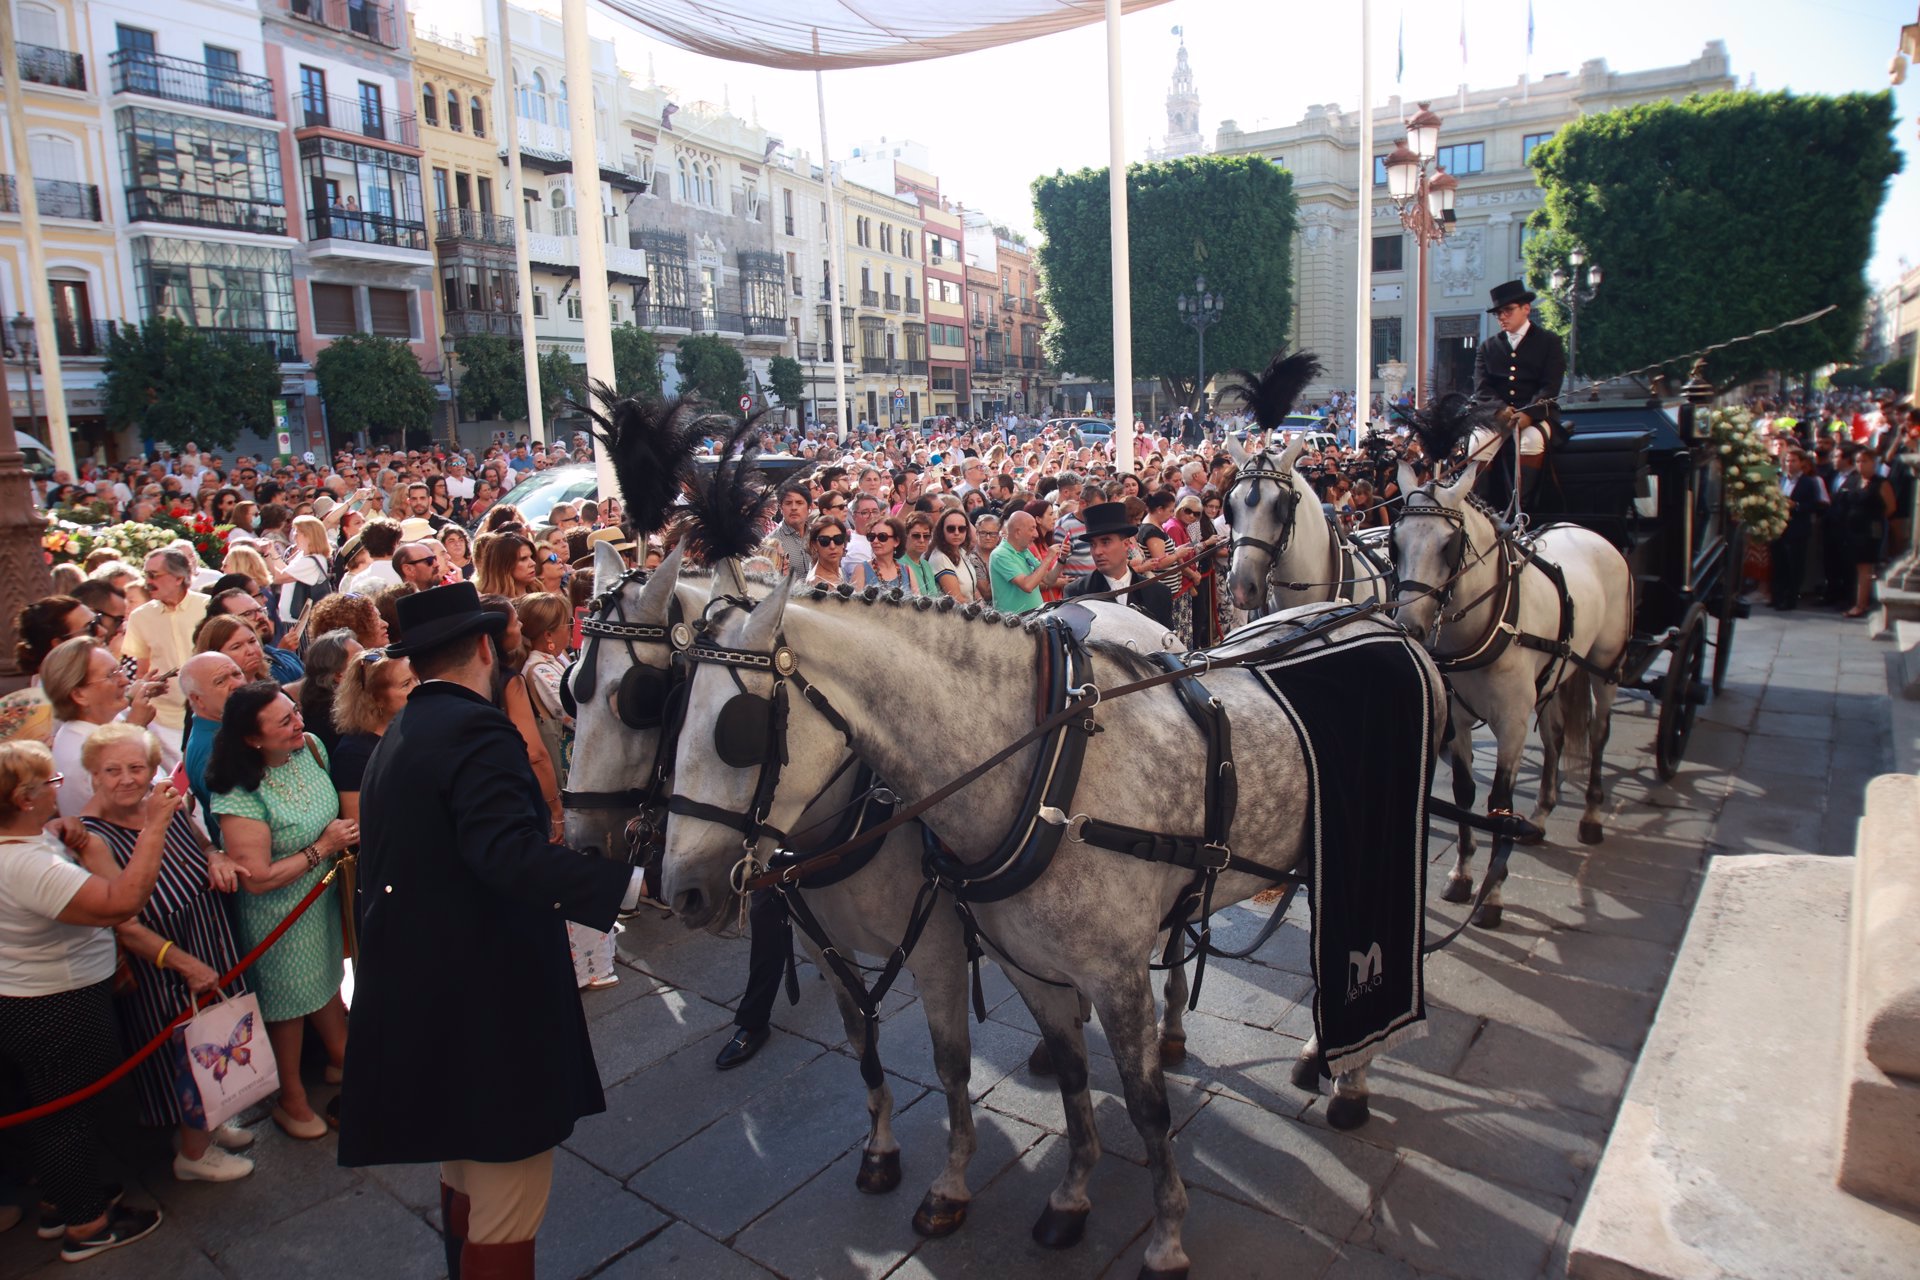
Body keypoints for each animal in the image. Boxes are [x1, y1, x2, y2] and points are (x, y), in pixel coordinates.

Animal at [1390, 466, 1628, 924]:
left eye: (1449, 545)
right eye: (1396, 542)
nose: (1409, 625)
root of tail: (1590, 533)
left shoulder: (1513, 723)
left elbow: (1498, 802)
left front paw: (1493, 894)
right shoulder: (1460, 721)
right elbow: (1464, 792)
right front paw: (1463, 874)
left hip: (1605, 667)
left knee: (1599, 734)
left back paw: (1591, 815)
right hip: (1555, 676)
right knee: (1554, 737)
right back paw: (1540, 814)